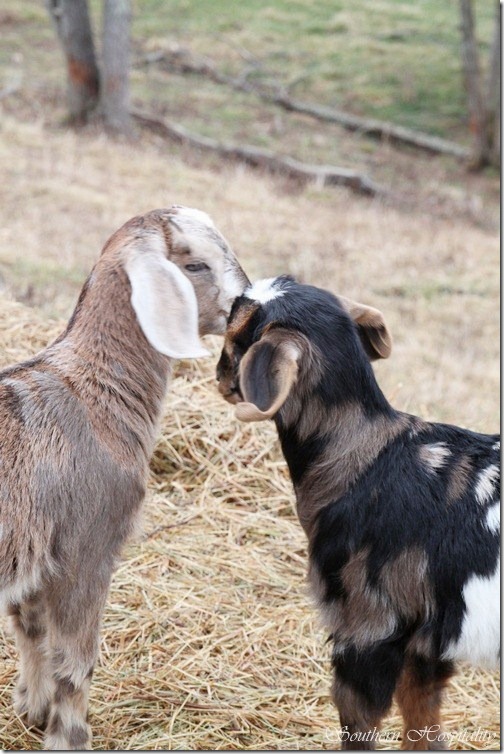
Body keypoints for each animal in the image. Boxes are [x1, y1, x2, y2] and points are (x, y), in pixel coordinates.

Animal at [0, 206, 249, 750]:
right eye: (195, 265)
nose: (246, 305)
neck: (93, 392)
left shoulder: (35, 558)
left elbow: (30, 629)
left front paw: (31, 707)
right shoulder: (87, 549)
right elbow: (76, 661)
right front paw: (69, 735)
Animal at [216, 275, 500, 751]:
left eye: (236, 335)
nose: (220, 377)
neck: (366, 458)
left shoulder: (367, 623)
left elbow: (359, 724)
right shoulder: (426, 637)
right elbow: (421, 718)